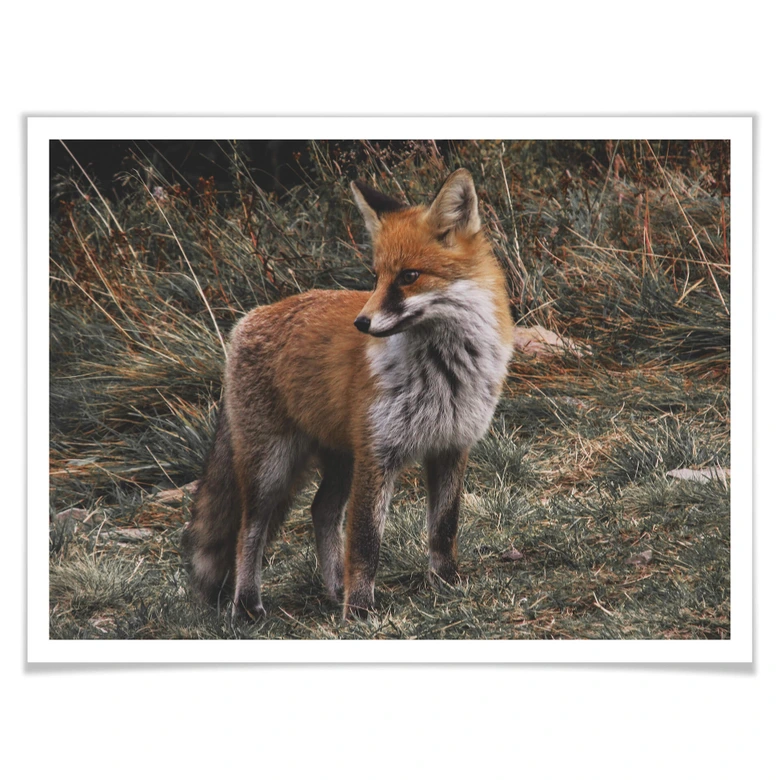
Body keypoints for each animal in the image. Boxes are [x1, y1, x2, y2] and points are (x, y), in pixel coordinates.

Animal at [182, 168, 514, 620]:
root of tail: (249, 319)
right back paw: (248, 604)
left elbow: (444, 528)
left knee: (320, 511)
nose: (362, 323)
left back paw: (333, 588)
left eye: (409, 276)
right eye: (376, 277)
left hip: (340, 460)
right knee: (249, 530)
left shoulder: (451, 446)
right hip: (272, 467)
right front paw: (359, 611)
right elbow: (365, 541)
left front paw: (446, 583)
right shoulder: (378, 454)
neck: (444, 372)